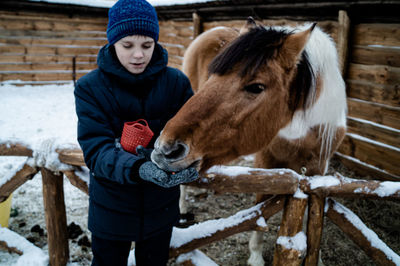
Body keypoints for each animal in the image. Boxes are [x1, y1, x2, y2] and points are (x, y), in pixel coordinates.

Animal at [152, 17, 346, 264]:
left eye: (256, 87)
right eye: (212, 76)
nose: (166, 149)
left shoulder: (318, 170)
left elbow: (311, 211)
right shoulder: (266, 161)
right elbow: (261, 206)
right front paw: (255, 256)